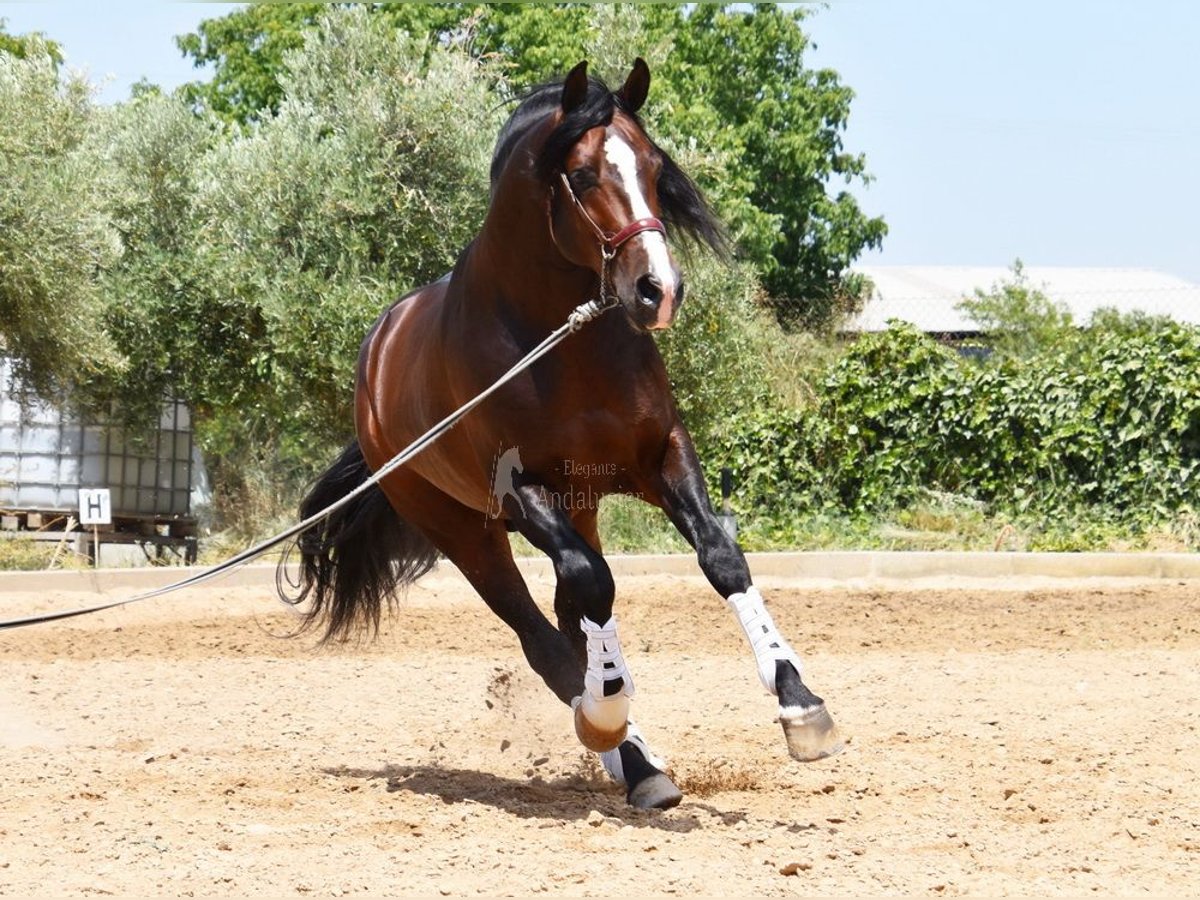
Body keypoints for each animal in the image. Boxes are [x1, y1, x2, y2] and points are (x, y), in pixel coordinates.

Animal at [284, 61, 840, 811]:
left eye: (654, 167)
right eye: (581, 174)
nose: (657, 289)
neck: (558, 343)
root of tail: (377, 355)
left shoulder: (659, 455)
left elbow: (720, 557)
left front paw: (799, 704)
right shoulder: (521, 488)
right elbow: (590, 592)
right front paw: (605, 717)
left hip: (582, 507)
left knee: (574, 617)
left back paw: (639, 755)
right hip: (464, 532)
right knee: (544, 635)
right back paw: (627, 750)